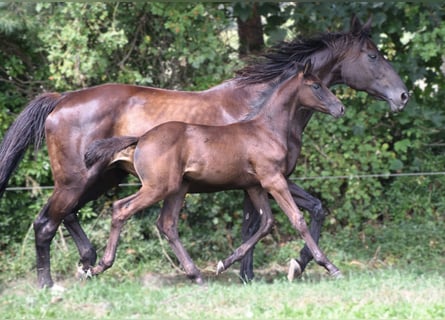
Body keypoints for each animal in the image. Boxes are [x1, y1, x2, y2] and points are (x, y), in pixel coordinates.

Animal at [83, 61, 346, 282]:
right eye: (316, 85)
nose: (341, 108)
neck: (266, 129)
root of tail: (141, 138)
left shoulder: (255, 185)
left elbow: (266, 223)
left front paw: (225, 263)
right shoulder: (273, 180)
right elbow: (297, 219)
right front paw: (331, 266)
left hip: (178, 188)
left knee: (166, 223)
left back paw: (195, 274)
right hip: (158, 187)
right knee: (121, 209)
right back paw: (98, 267)